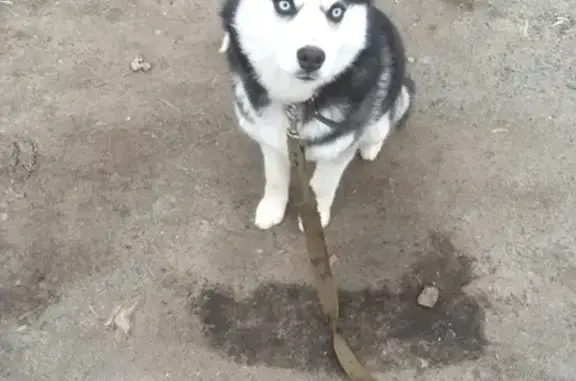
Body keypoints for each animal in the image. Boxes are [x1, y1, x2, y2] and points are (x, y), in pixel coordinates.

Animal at [219, 0, 414, 230]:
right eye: (284, 5)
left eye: (336, 11)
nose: (311, 57)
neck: (296, 100)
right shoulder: (269, 140)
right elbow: (275, 177)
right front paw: (272, 207)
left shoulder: (339, 149)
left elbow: (322, 185)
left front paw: (316, 216)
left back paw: (370, 147)